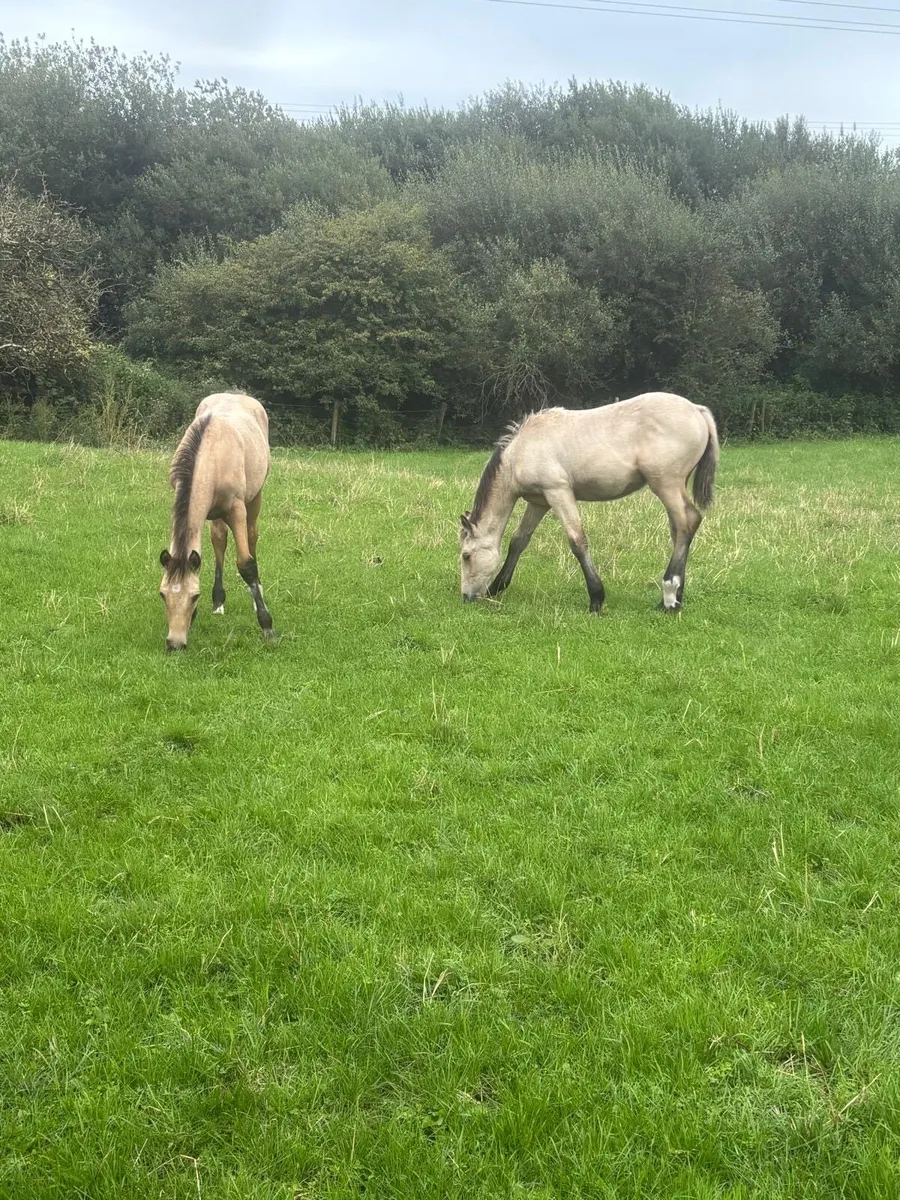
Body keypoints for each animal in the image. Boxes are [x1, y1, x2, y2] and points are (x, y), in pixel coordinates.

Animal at [159, 392, 276, 650]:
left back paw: (257, 596)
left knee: (252, 537)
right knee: (219, 540)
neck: (210, 454)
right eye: (162, 594)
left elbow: (246, 564)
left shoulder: (237, 510)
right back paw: (219, 602)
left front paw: (267, 626)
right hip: (217, 514)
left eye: (194, 596)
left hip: (255, 497)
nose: (175, 643)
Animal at [459, 391, 719, 614]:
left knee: (687, 523)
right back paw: (676, 597)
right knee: (679, 531)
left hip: (666, 484)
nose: (466, 597)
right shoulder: (540, 501)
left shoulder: (558, 492)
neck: (520, 453)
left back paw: (669, 596)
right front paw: (497, 587)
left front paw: (596, 598)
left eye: (466, 556)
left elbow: (577, 541)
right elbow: (519, 541)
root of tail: (697, 409)